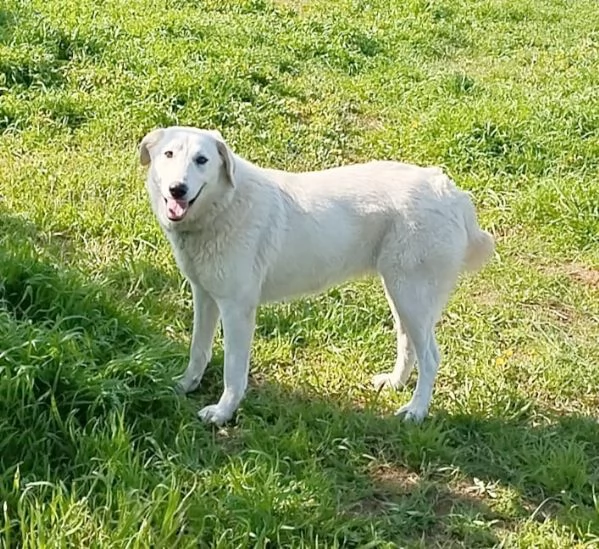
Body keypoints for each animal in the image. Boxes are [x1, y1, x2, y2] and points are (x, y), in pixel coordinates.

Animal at [141, 126, 496, 426]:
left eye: (202, 160)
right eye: (168, 155)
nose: (177, 189)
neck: (224, 206)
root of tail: (450, 190)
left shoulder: (237, 308)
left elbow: (233, 370)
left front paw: (223, 413)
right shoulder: (205, 296)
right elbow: (198, 350)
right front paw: (184, 385)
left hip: (412, 297)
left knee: (431, 357)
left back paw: (416, 410)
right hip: (401, 295)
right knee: (408, 343)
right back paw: (394, 384)